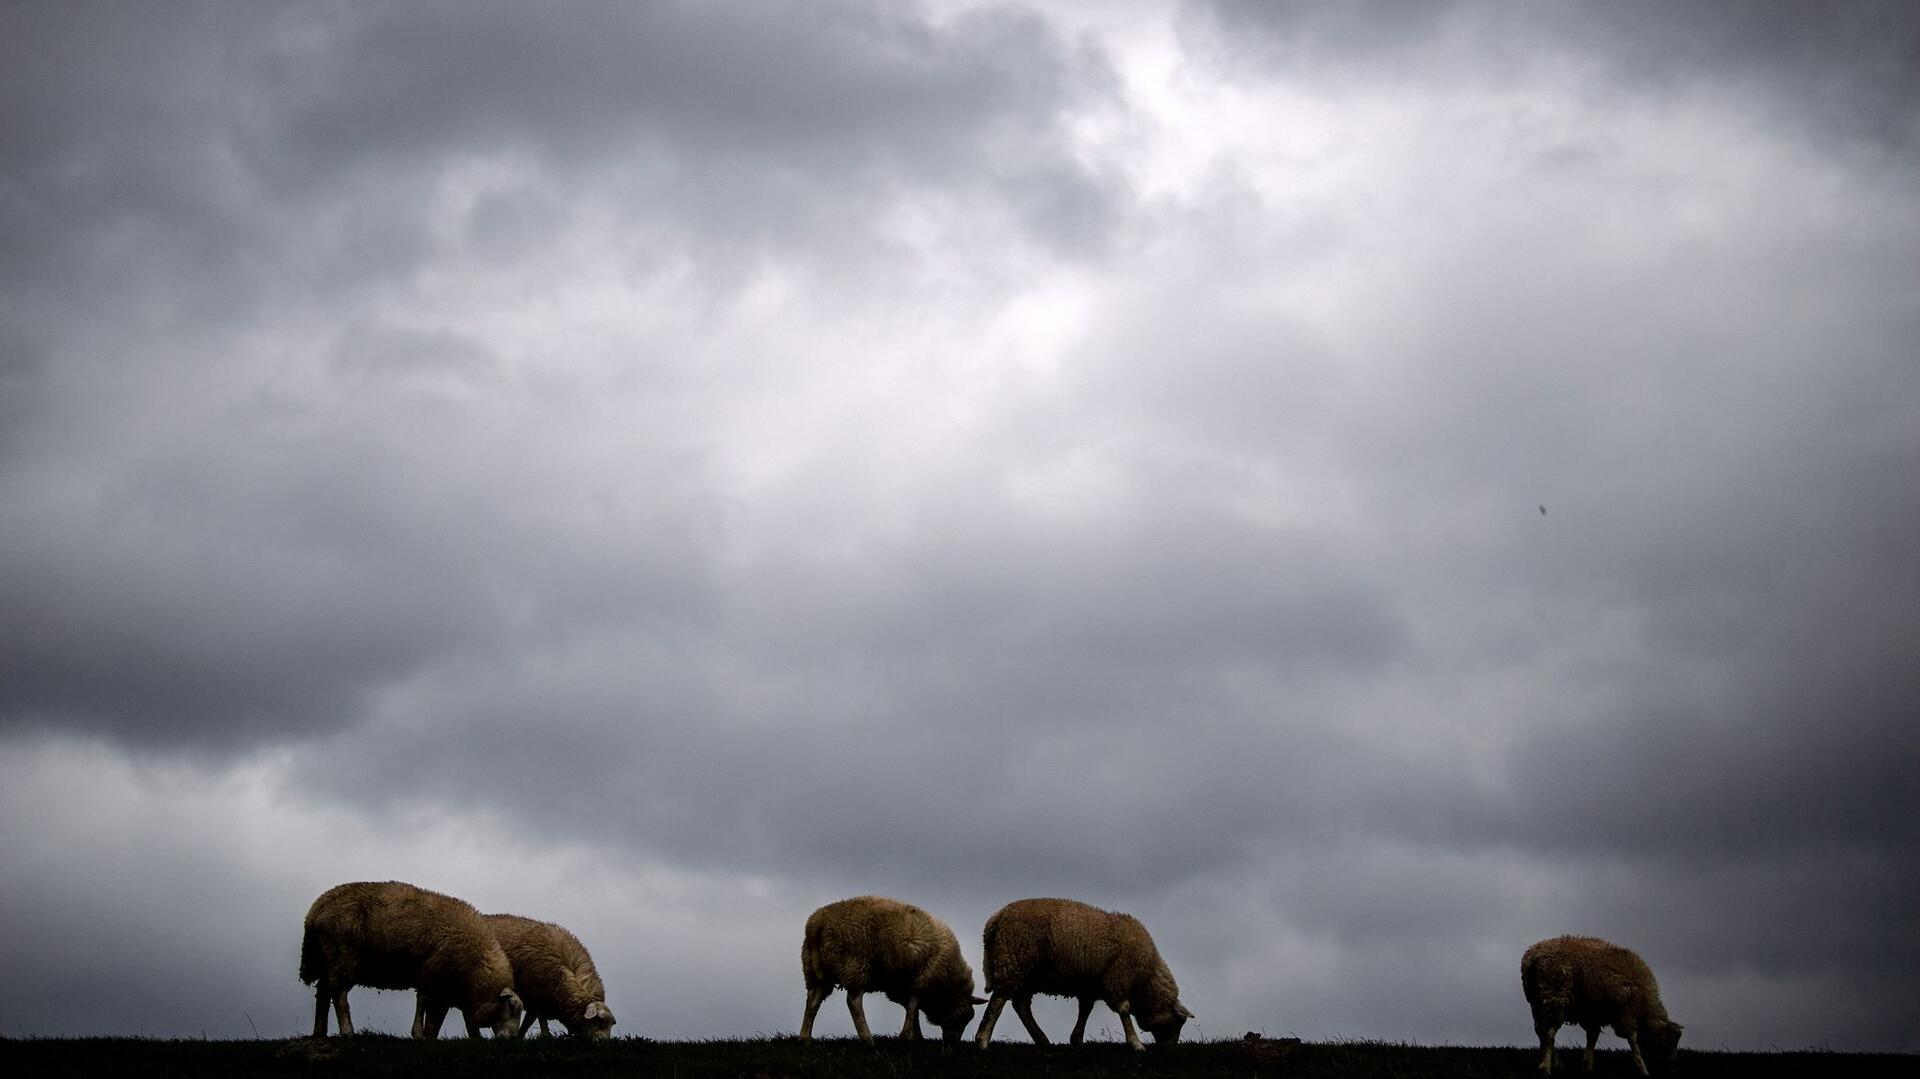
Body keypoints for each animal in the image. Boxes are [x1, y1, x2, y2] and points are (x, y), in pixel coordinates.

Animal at [293, 879, 522, 1036]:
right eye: (511, 1007)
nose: (512, 1038)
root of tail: (315, 911)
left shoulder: (445, 988)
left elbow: (436, 1016)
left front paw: (429, 1035)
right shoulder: (432, 974)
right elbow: (424, 1003)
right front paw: (418, 1033)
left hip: (327, 959)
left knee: (323, 993)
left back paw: (319, 1032)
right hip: (342, 956)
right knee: (339, 994)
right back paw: (347, 1031)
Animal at [794, 890, 983, 1044]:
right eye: (964, 1017)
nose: (953, 1043)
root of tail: (816, 925)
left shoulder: (901, 985)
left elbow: (911, 1008)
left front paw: (916, 1036)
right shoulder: (923, 978)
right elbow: (913, 1005)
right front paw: (907, 1036)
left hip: (814, 971)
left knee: (812, 1001)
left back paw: (805, 1038)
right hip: (854, 965)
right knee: (853, 1002)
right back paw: (867, 1039)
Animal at [983, 894, 1190, 1044]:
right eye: (1179, 1022)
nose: (1170, 1047)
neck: (1146, 980)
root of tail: (996, 918)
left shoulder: (1091, 986)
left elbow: (1085, 1010)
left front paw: (1076, 1039)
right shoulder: (1118, 979)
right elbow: (1124, 1010)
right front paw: (1136, 1043)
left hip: (1027, 975)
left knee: (1021, 1006)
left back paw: (1042, 1040)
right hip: (1013, 962)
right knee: (998, 1001)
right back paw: (982, 1039)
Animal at [1520, 929, 1689, 1067]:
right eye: (1674, 1038)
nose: (1673, 1061)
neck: (1646, 1010)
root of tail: (1532, 957)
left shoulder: (1593, 1014)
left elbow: (1592, 1037)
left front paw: (1587, 1066)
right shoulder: (1625, 1011)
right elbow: (1633, 1040)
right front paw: (1642, 1069)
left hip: (1538, 1000)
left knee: (1542, 1032)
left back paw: (1552, 1062)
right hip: (1555, 996)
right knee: (1548, 1032)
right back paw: (1546, 1068)